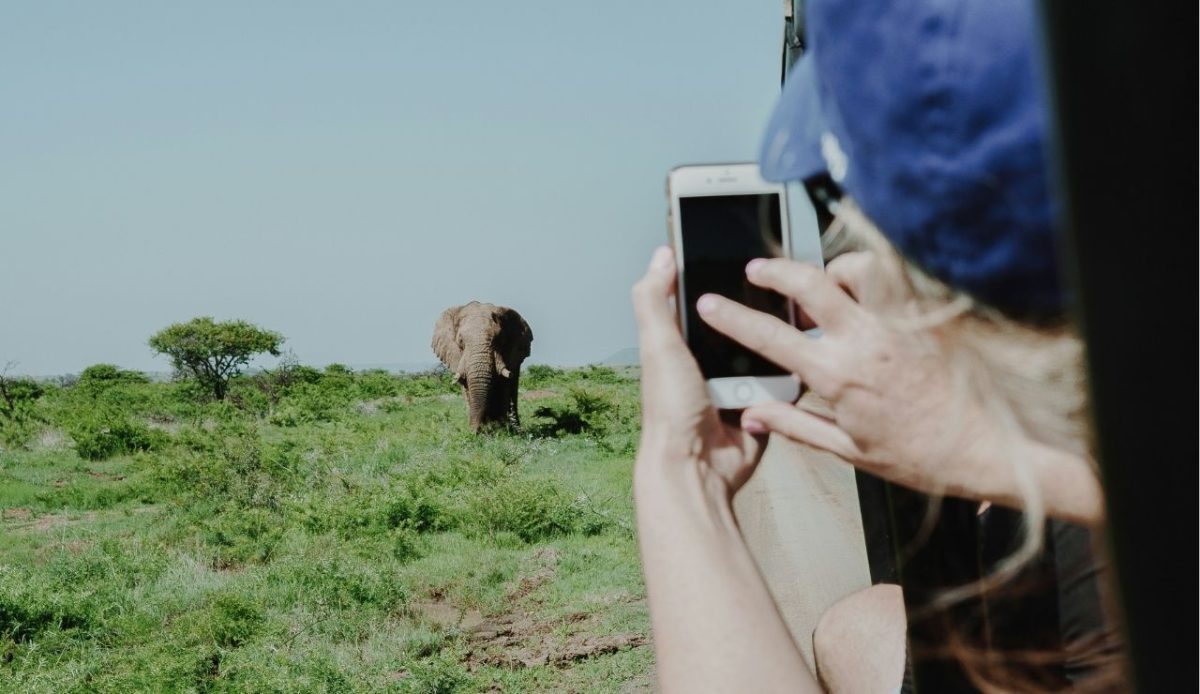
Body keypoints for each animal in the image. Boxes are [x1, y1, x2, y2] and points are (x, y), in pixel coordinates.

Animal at [432, 302, 533, 433]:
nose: (475, 431)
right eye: (460, 341)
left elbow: (503, 385)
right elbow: (466, 386)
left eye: (499, 339)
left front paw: (500, 430)